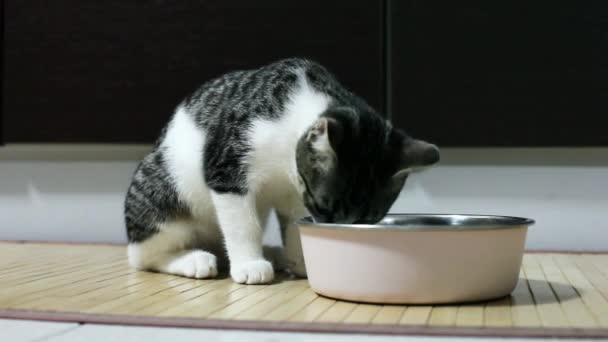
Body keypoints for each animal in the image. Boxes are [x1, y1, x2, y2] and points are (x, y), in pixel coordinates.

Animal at [123, 58, 440, 284]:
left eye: (368, 220)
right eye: (323, 208)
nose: (337, 231)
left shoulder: (296, 189)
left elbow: (295, 222)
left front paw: (302, 260)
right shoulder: (226, 168)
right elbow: (242, 224)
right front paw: (250, 264)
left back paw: (271, 253)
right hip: (163, 187)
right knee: (142, 255)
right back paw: (192, 260)